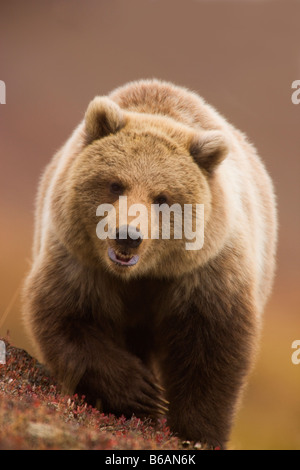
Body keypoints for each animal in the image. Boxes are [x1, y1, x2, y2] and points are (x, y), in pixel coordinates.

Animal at [22, 78, 278, 448]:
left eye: (162, 197)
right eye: (115, 184)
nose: (127, 235)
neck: (143, 275)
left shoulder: (205, 272)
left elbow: (211, 351)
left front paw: (196, 432)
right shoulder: (80, 262)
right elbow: (67, 317)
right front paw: (140, 393)